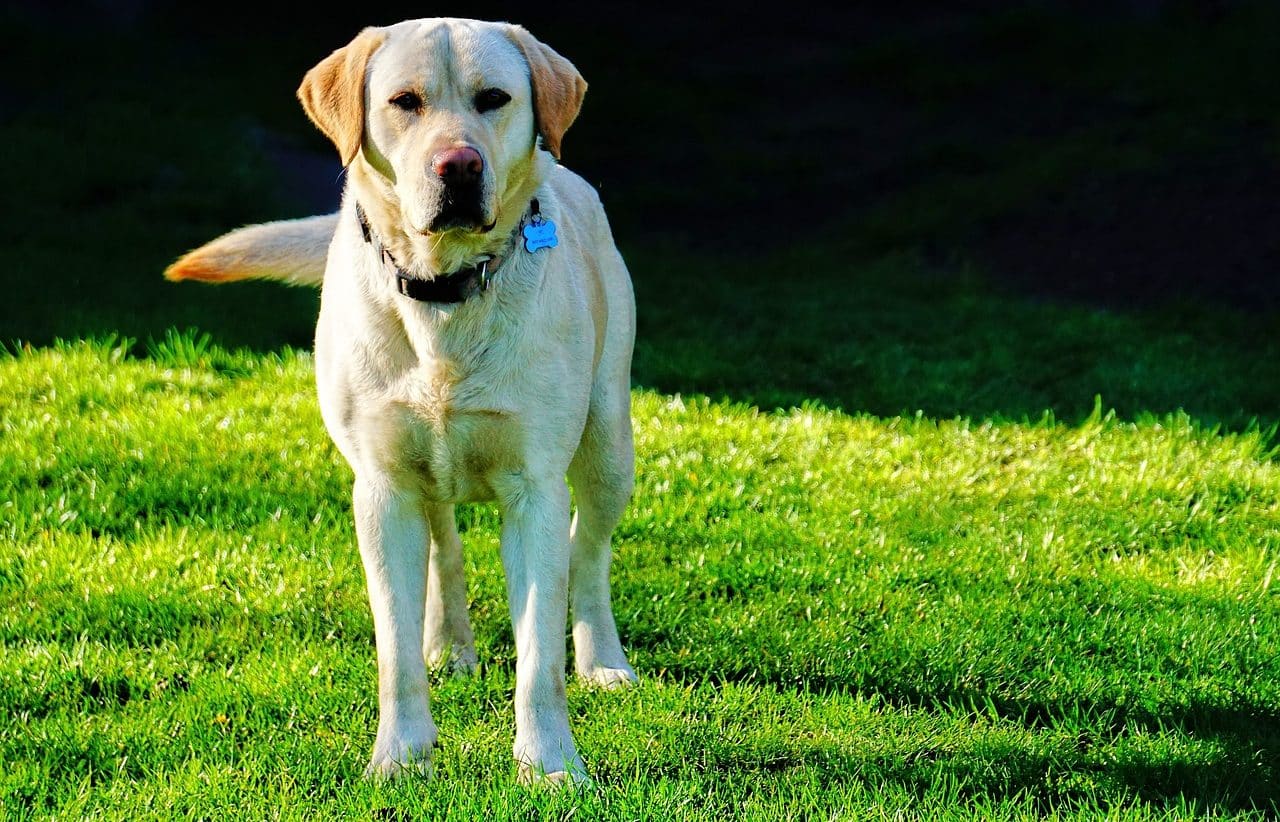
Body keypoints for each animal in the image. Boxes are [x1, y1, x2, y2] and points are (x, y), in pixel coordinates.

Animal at [162, 17, 637, 778]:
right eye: (404, 102)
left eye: (494, 98)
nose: (459, 166)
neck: (443, 292)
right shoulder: (382, 488)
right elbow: (394, 651)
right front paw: (402, 757)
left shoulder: (534, 488)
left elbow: (538, 657)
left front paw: (551, 766)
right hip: (423, 471)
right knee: (444, 543)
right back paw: (447, 645)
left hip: (607, 442)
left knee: (587, 551)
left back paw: (603, 661)